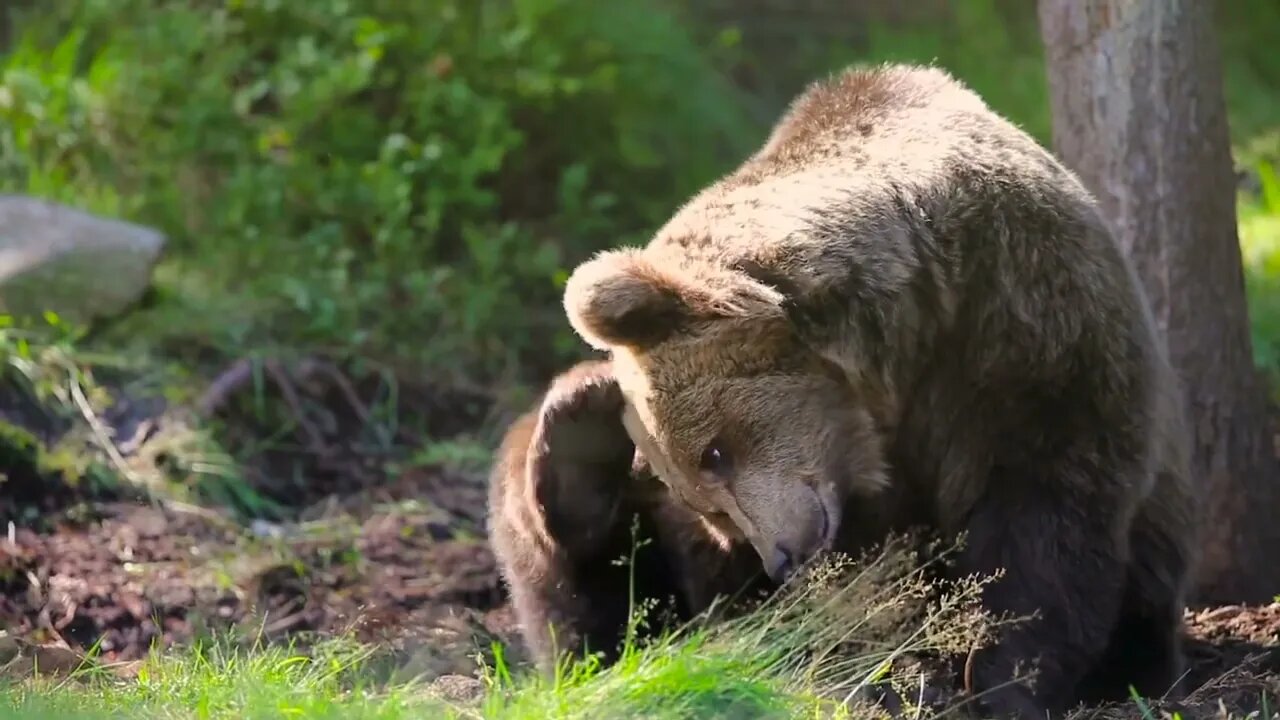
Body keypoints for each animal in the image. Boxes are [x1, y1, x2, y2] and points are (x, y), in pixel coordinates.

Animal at [558, 63, 1198, 717]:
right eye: (712, 507)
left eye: (715, 454)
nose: (782, 558)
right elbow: (871, 583)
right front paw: (890, 672)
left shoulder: (1027, 325)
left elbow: (1050, 517)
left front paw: (1002, 678)